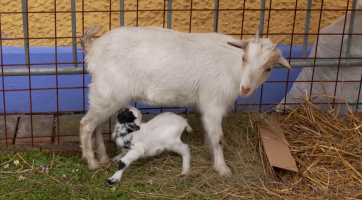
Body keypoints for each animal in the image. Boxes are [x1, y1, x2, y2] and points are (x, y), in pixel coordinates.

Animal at [78, 24, 292, 176]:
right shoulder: (213, 102)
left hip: (103, 94)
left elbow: (209, 132)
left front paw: (210, 153)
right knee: (86, 124)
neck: (233, 66)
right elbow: (218, 137)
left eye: (268, 68)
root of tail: (93, 48)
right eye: (244, 58)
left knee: (96, 124)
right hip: (108, 93)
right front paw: (223, 169)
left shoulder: (205, 104)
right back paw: (91, 162)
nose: (245, 89)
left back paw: (103, 158)